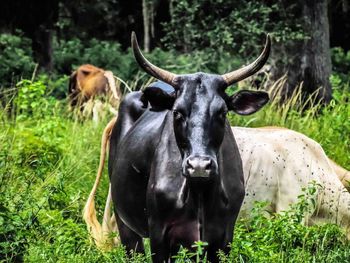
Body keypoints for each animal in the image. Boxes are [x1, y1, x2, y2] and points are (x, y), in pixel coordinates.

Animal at [109, 32, 270, 262]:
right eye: (177, 112)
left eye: (222, 112)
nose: (199, 166)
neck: (199, 192)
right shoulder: (159, 234)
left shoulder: (223, 237)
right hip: (124, 223)